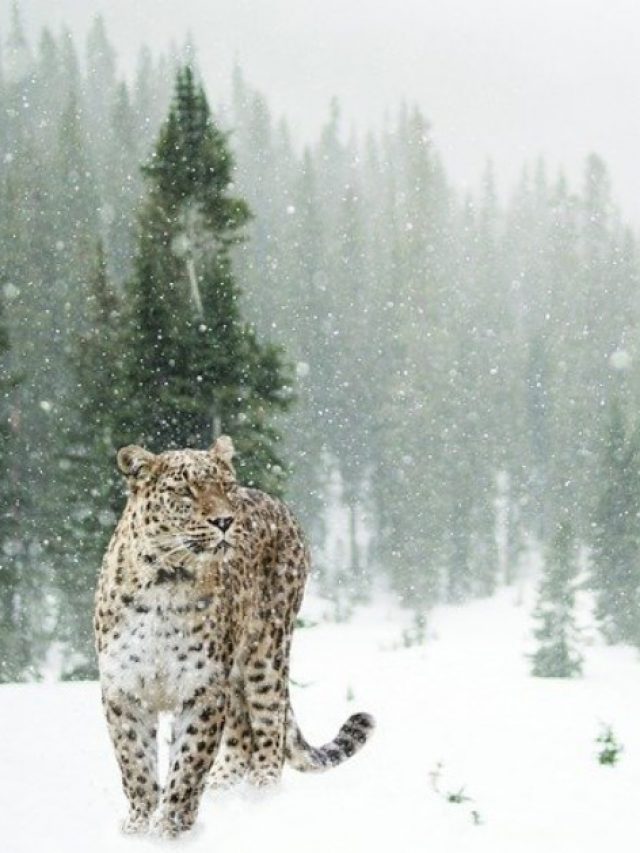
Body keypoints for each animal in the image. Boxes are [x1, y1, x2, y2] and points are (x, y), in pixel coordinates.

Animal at [94, 435, 375, 838]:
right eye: (185, 491)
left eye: (225, 486)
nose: (225, 521)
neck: (166, 581)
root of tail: (277, 502)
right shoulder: (124, 689)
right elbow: (135, 764)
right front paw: (138, 827)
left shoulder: (203, 689)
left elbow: (188, 764)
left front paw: (170, 830)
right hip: (238, 674)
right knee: (242, 735)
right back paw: (223, 790)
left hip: (267, 654)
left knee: (269, 730)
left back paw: (261, 799)